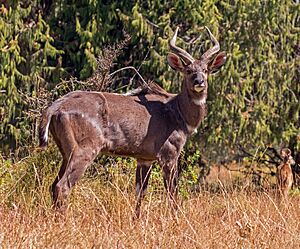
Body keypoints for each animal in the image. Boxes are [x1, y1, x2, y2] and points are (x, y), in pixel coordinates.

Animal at [39, 27, 226, 217]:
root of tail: (55, 108)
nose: (199, 82)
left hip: (65, 152)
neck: (177, 113)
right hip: (84, 149)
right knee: (63, 186)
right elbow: (172, 193)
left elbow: (140, 192)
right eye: (188, 70)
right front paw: (177, 219)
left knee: (53, 185)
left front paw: (136, 219)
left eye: (206, 70)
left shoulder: (144, 158)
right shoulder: (169, 153)